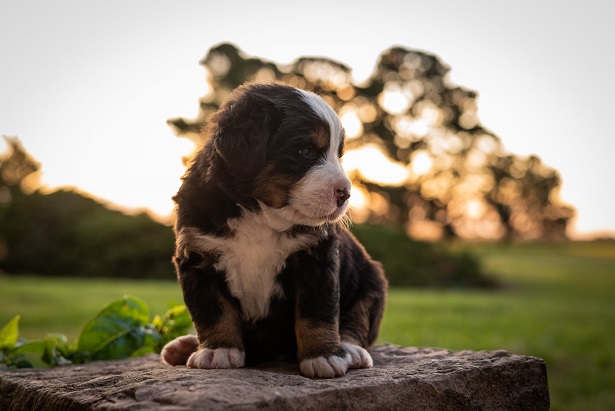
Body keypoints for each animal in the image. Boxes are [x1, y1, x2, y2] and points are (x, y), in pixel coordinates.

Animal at [161, 82, 388, 378]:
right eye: (305, 151)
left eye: (338, 155)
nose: (346, 193)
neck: (260, 217)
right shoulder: (197, 258)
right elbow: (213, 312)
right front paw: (217, 350)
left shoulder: (316, 259)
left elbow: (317, 312)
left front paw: (323, 356)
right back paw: (183, 346)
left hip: (371, 282)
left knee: (357, 321)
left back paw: (350, 350)